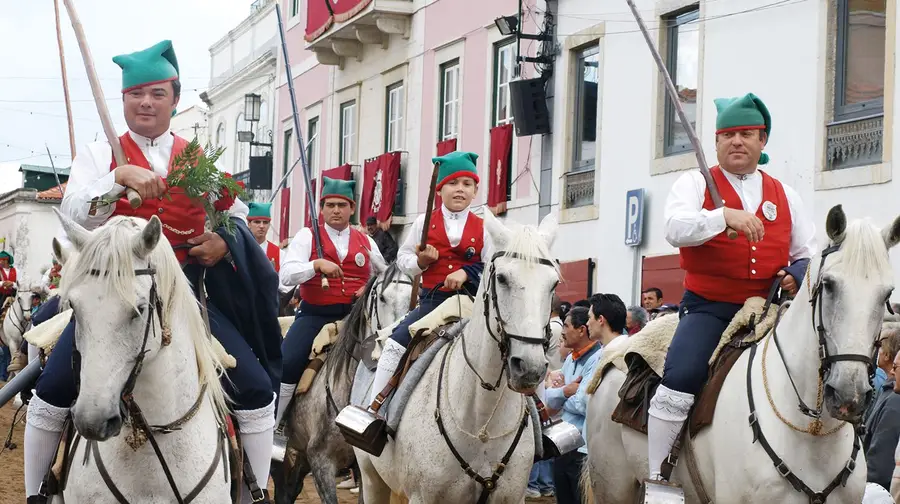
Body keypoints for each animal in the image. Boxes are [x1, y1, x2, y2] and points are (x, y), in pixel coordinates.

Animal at [354, 211, 560, 502]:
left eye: (553, 283)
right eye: (502, 278)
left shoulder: (512, 497)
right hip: (372, 478)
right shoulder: (422, 496)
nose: (530, 368)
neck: (482, 419)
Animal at [580, 205, 896, 504]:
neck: (813, 433)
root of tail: (616, 350)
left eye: (887, 294)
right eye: (829, 285)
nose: (849, 396)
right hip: (613, 485)